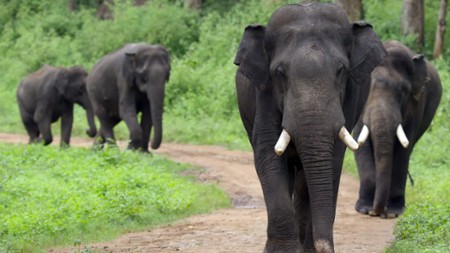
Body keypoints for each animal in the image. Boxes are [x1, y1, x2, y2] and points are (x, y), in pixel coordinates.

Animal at [232, 2, 386, 253]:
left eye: (341, 70)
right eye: (280, 73)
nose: (326, 248)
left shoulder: (350, 97)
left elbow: (333, 160)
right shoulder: (264, 92)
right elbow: (267, 153)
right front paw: (281, 252)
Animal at [352, 40, 442, 218]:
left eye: (403, 91)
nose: (377, 212)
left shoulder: (416, 104)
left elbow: (402, 150)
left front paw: (393, 213)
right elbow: (360, 141)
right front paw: (365, 210)